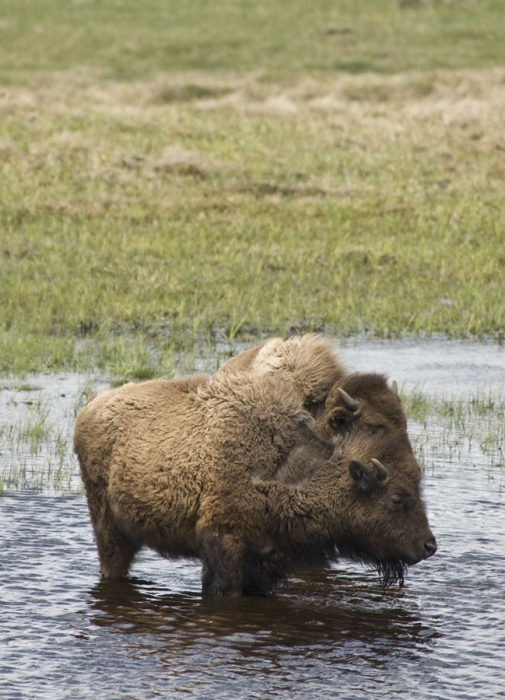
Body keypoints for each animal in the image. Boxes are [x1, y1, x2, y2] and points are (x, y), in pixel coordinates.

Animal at [73, 366, 436, 596]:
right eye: (397, 498)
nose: (429, 546)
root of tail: (90, 408)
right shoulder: (225, 547)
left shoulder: (266, 561)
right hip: (108, 527)